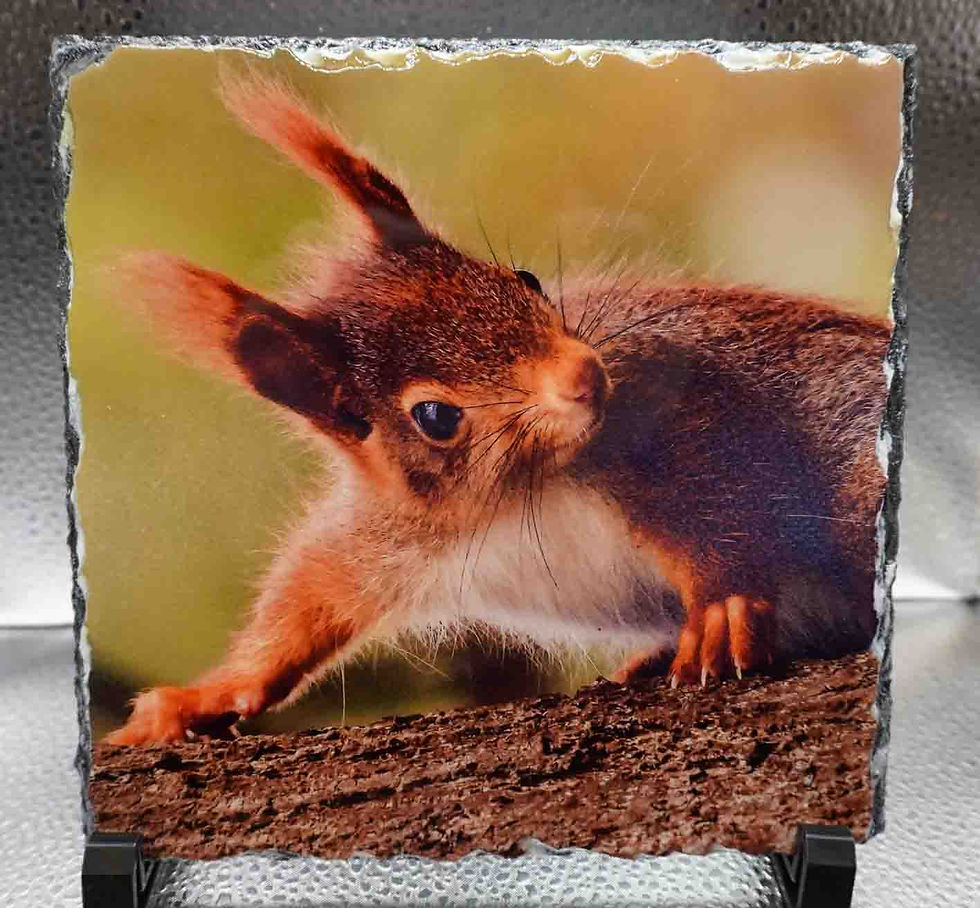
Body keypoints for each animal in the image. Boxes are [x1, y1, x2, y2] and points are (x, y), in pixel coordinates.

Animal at [104, 73, 890, 745]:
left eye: (526, 279)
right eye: (434, 416)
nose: (584, 378)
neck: (522, 494)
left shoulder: (664, 402)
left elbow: (715, 494)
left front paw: (723, 602)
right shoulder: (389, 534)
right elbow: (306, 600)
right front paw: (204, 697)